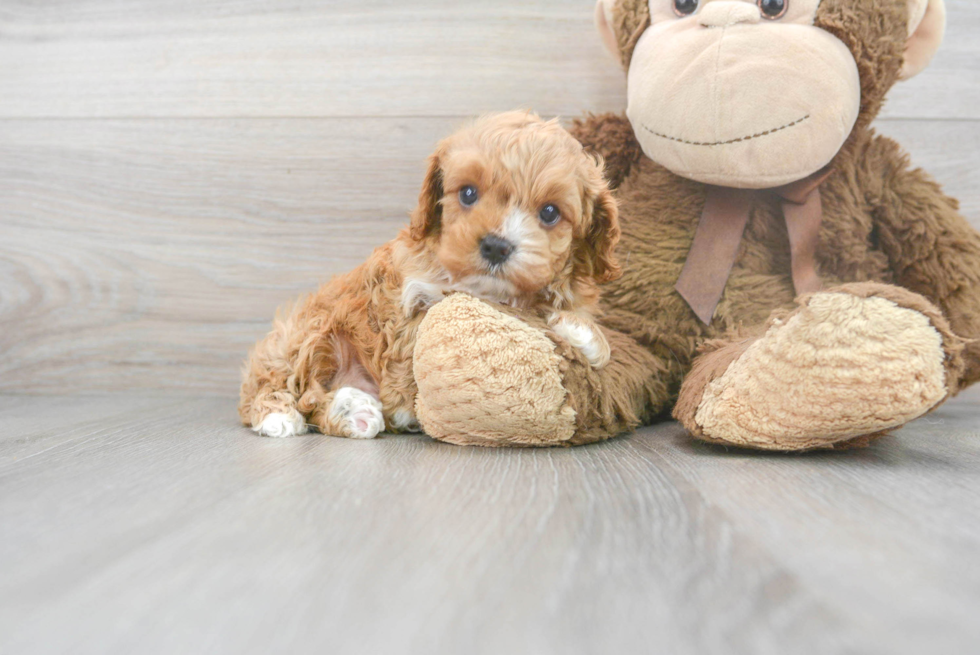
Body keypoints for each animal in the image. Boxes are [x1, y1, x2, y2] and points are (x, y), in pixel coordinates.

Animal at [238, 111, 620, 440]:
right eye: (468, 193)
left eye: (550, 213)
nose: (496, 246)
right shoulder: (406, 304)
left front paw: (583, 333)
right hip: (302, 334)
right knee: (284, 385)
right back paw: (281, 415)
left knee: (315, 401)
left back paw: (355, 412)